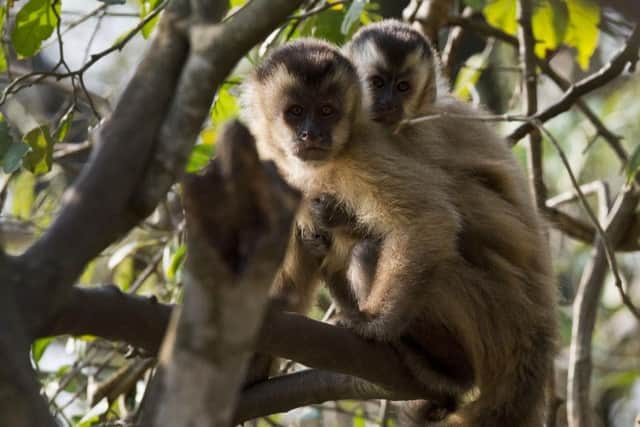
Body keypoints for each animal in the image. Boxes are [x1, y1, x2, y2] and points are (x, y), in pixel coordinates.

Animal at [241, 39, 557, 426]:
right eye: (296, 112)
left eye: (327, 111)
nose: (311, 134)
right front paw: (251, 364)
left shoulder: (364, 152)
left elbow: (428, 219)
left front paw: (376, 324)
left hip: (495, 313)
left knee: (371, 249)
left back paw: (449, 368)